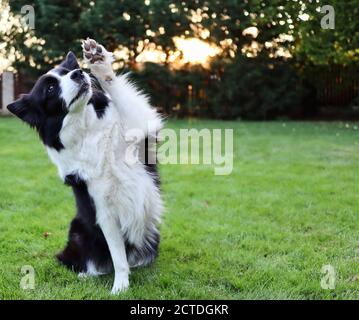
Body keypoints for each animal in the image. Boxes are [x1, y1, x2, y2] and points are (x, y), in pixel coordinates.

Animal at [6, 38, 163, 294]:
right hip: (77, 229)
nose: (79, 73)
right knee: (87, 261)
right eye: (50, 89)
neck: (87, 128)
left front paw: (98, 62)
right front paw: (120, 288)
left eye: (67, 71)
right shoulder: (104, 211)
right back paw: (86, 275)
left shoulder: (139, 130)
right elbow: (118, 256)